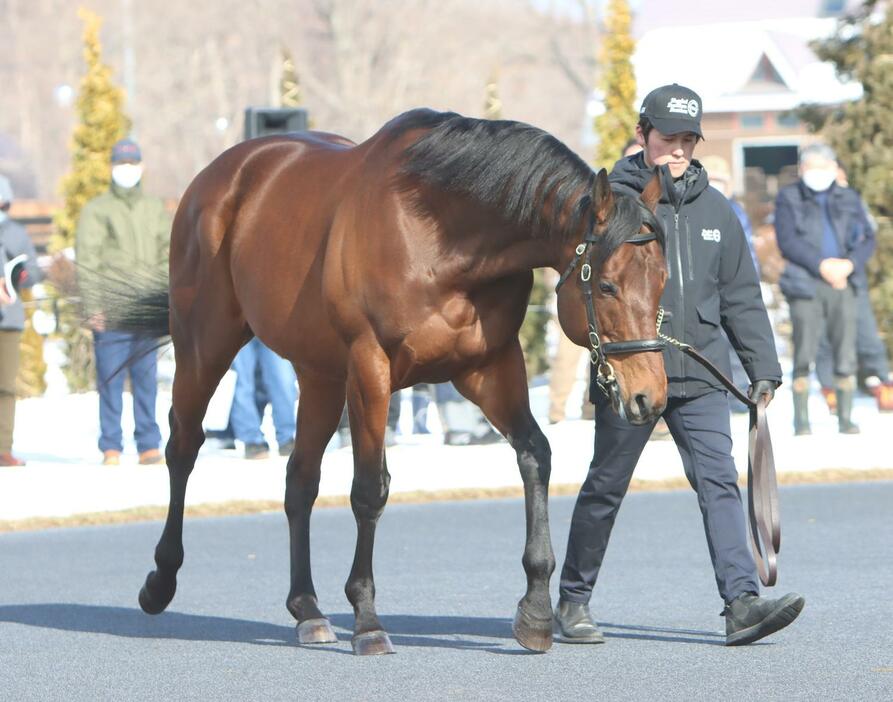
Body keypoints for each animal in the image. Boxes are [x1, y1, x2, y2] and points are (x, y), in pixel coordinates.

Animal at [129, 108, 664, 656]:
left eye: (663, 281)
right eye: (606, 285)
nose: (651, 396)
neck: (439, 233)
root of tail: (219, 176)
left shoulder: (490, 366)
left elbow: (535, 455)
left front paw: (535, 611)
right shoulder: (370, 367)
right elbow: (370, 489)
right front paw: (367, 619)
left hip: (319, 375)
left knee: (300, 479)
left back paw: (308, 610)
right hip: (204, 344)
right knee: (184, 446)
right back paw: (160, 581)